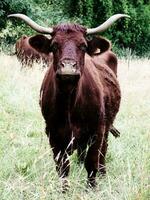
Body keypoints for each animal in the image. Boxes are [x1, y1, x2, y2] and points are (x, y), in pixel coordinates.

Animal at [7, 13, 129, 190]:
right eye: (54, 45)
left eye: (83, 46)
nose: (68, 68)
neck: (69, 103)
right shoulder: (53, 134)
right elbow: (62, 168)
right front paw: (64, 190)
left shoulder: (97, 130)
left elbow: (92, 162)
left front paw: (92, 188)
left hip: (106, 126)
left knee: (103, 151)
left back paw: (103, 173)